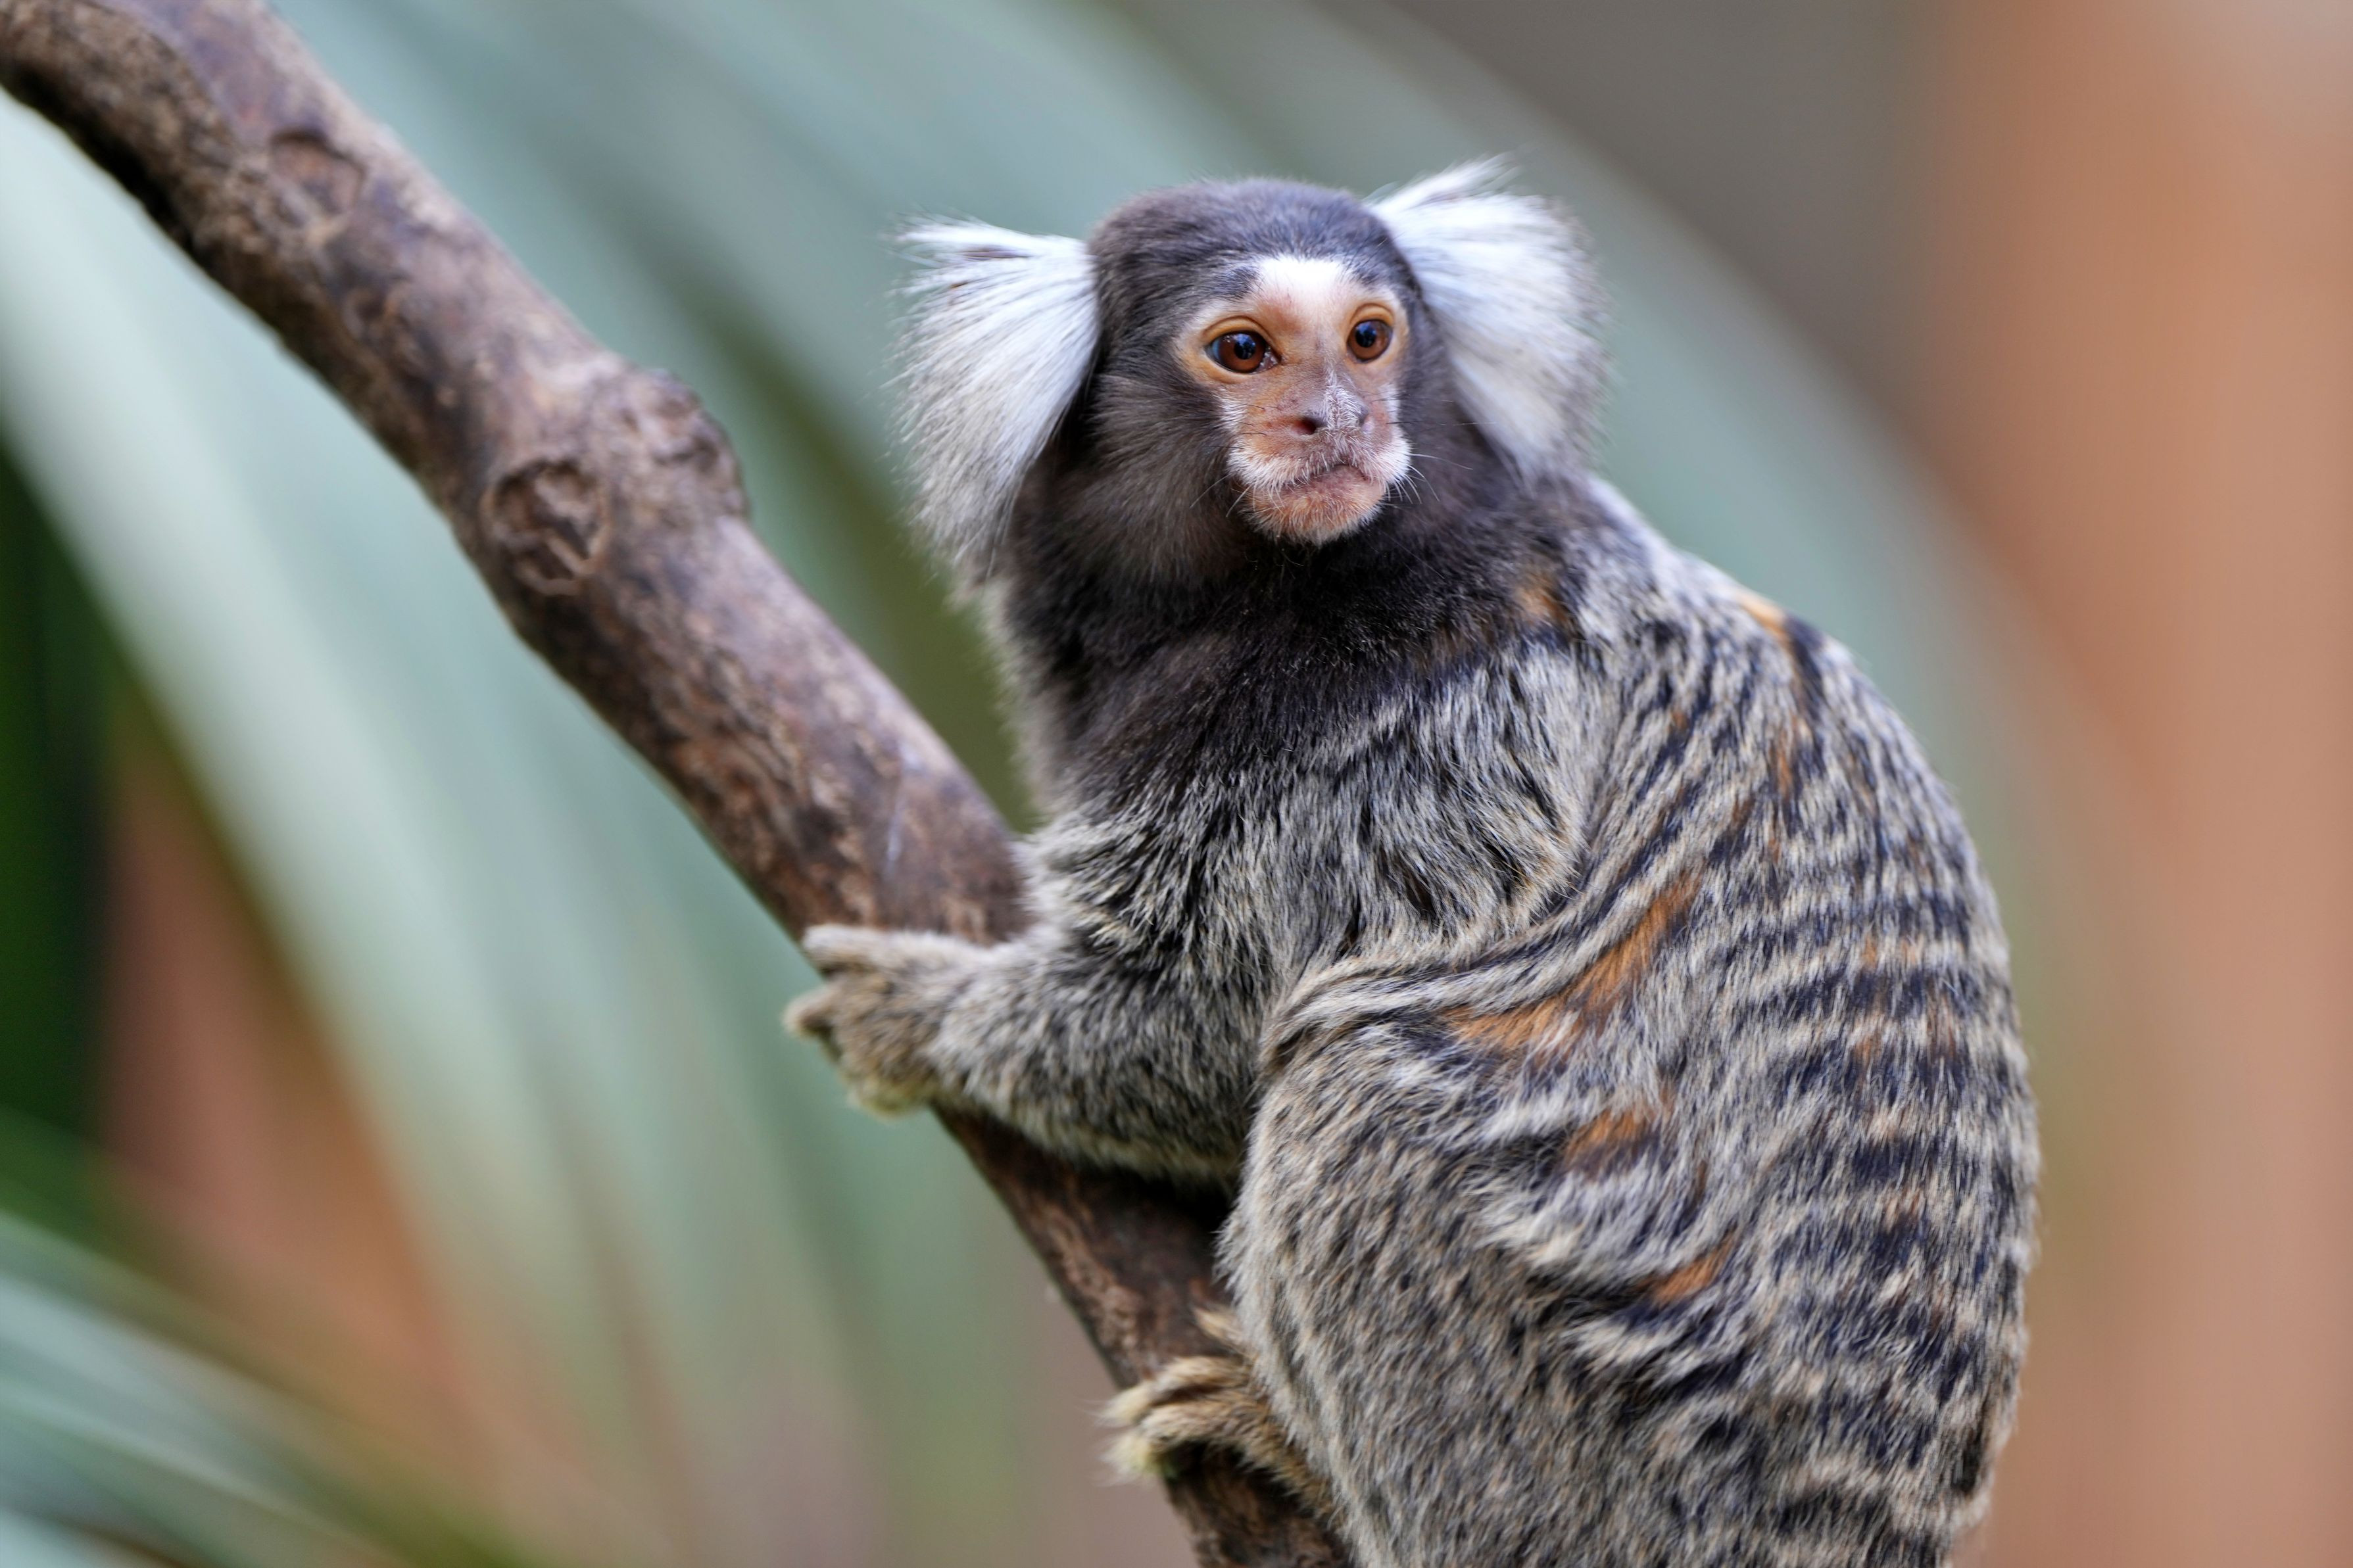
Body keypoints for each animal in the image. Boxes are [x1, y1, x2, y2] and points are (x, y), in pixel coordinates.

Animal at [787, 163, 2038, 1568]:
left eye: (1368, 337)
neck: (1275, 592)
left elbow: (1201, 1035)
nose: (1334, 418)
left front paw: (926, 1019)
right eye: (1242, 352)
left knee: (1353, 1091)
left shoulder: (1405, 750)